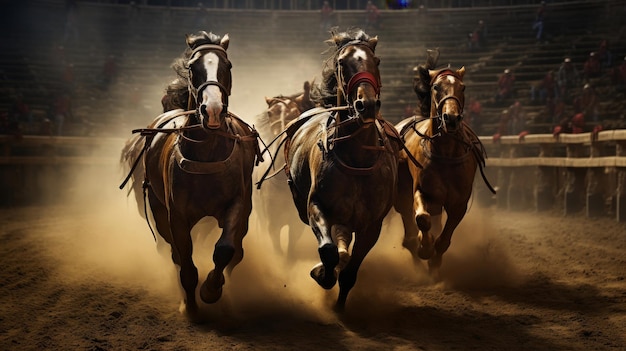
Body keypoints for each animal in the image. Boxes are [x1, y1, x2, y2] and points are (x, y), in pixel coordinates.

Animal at [120, 32, 260, 322]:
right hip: (157, 209)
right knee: (173, 253)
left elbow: (225, 249)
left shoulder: (236, 205)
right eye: (193, 68)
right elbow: (185, 262)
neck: (207, 152)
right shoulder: (176, 216)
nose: (213, 109)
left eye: (228, 65)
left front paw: (212, 289)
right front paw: (191, 305)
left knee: (236, 251)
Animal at [251, 80, 314, 262]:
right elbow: (277, 250)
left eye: (295, 113)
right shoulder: (272, 224)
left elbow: (290, 253)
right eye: (270, 113)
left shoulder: (296, 225)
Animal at [282, 28, 400, 312]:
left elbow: (350, 270)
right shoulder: (317, 207)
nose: (366, 104)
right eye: (342, 63)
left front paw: (339, 302)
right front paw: (322, 273)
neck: (357, 159)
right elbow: (328, 250)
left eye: (376, 61)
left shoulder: (373, 226)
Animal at [390, 49, 492, 280]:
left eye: (463, 87)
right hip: (403, 194)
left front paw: (435, 261)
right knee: (409, 231)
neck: (445, 153)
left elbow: (444, 238)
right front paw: (425, 248)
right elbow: (422, 219)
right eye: (436, 87)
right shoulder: (422, 192)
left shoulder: (459, 203)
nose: (451, 118)